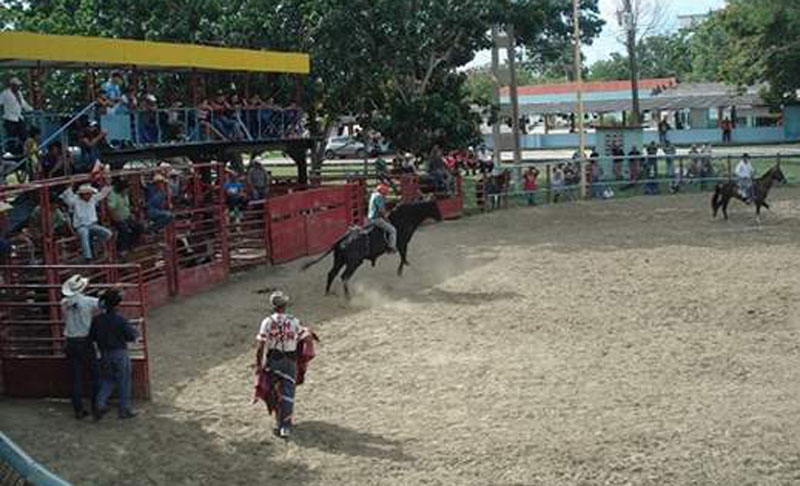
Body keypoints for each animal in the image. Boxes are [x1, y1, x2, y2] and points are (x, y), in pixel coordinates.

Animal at [304, 200, 444, 296]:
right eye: (435, 206)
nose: (441, 218)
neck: (403, 219)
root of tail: (343, 239)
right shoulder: (402, 244)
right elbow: (403, 257)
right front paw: (402, 271)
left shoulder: (402, 245)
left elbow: (403, 257)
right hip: (353, 263)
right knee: (344, 277)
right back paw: (348, 297)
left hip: (339, 260)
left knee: (331, 273)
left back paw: (328, 292)